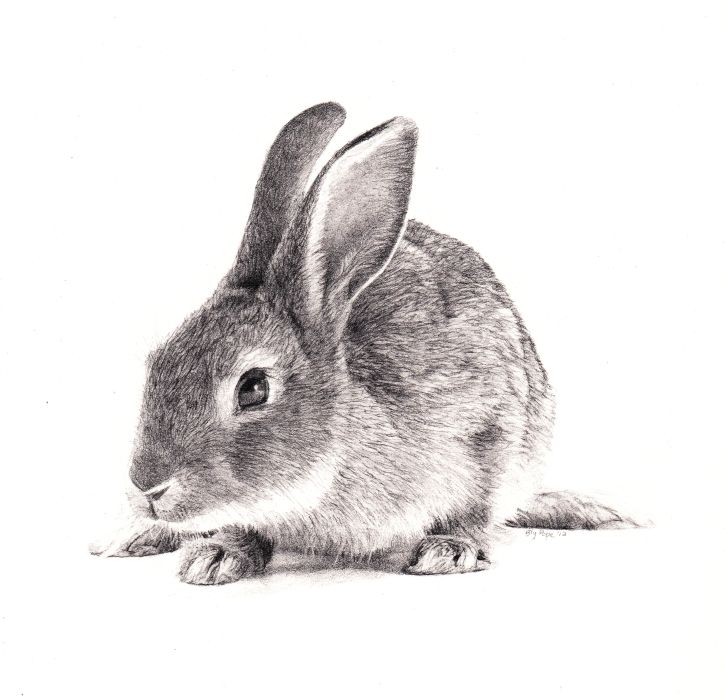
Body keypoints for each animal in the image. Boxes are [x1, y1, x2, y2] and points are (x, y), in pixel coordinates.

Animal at [92, 102, 636, 584]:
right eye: (156, 362)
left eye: (253, 388)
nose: (146, 487)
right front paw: (217, 556)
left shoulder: (489, 430)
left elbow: (473, 510)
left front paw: (449, 551)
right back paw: (136, 537)